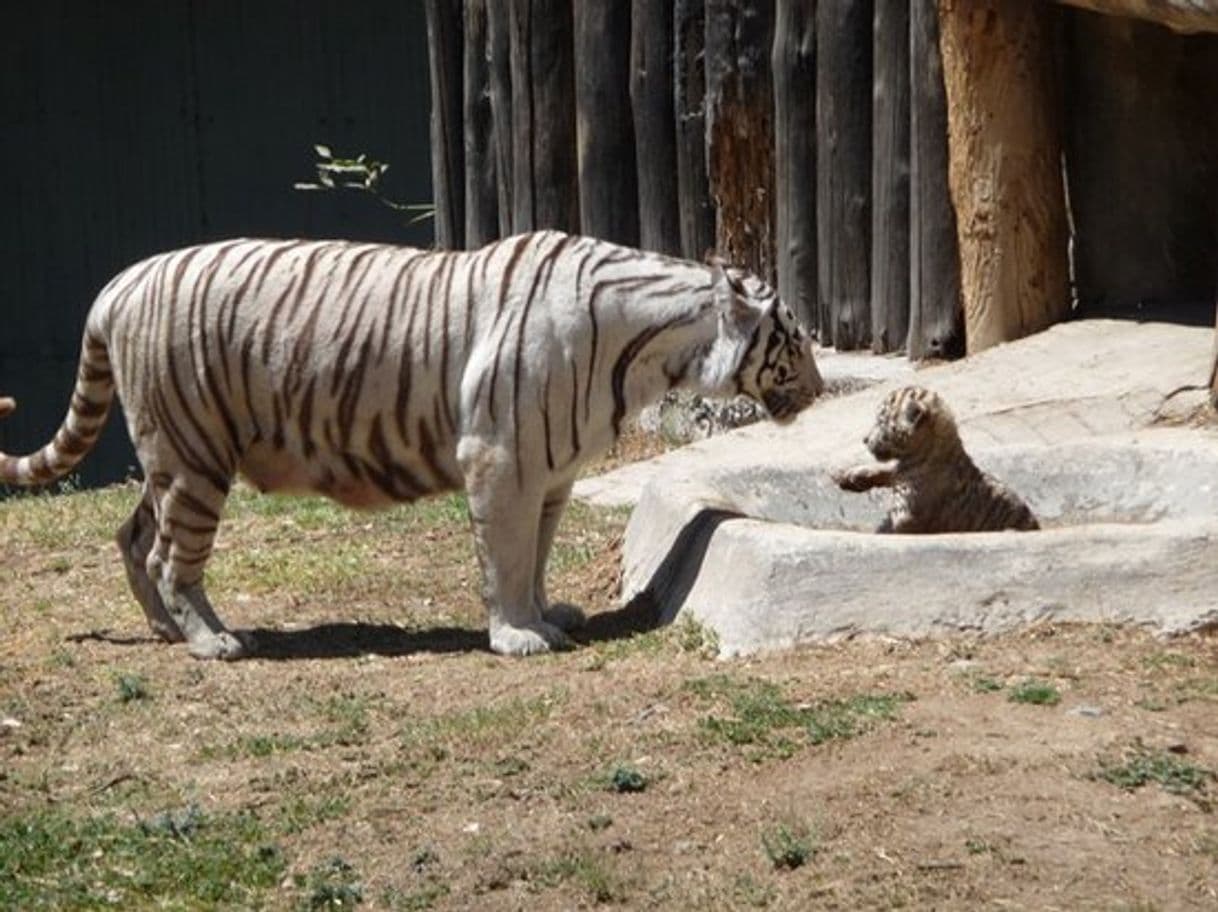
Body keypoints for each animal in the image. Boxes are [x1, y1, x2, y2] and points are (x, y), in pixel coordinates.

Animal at [0, 227, 823, 652]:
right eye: (795, 338)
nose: (819, 388)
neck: (651, 351)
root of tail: (118, 284)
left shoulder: (551, 474)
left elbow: (536, 556)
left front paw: (546, 615)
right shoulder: (500, 461)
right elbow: (505, 557)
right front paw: (517, 636)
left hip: (173, 457)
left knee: (132, 535)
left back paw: (163, 629)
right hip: (193, 460)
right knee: (171, 556)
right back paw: (210, 640)